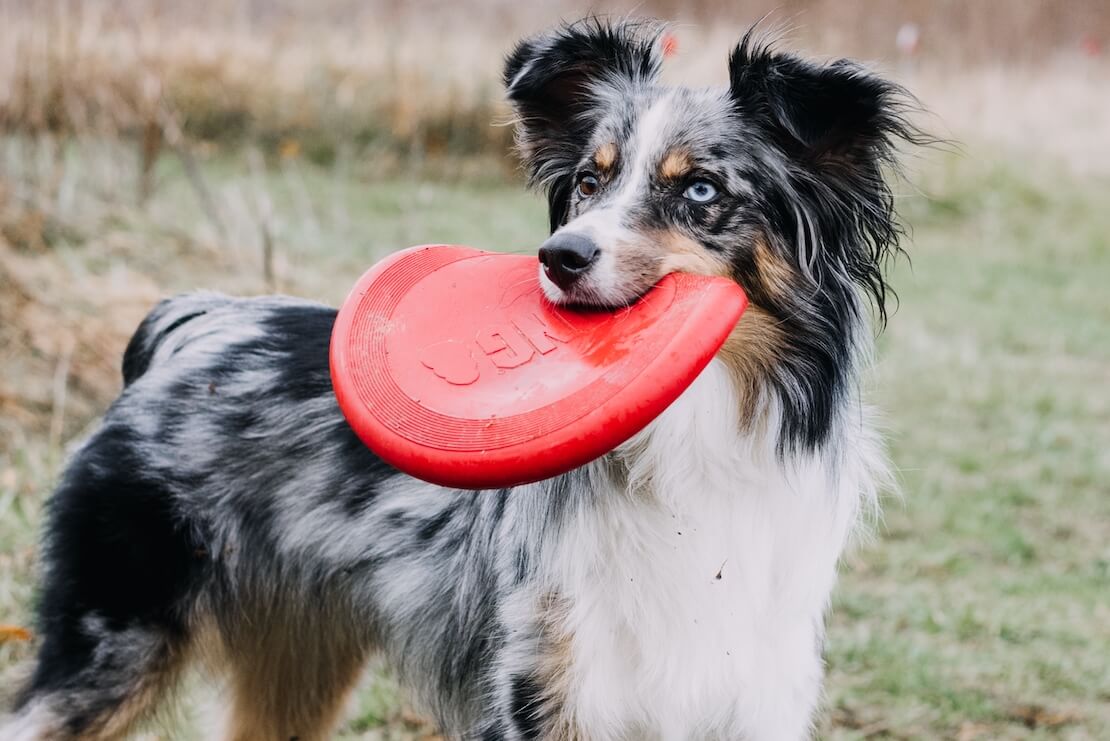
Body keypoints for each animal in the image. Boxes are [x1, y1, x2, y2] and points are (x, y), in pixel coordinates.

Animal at [2, 17, 919, 741]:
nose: (560, 255)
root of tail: (191, 323)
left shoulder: (750, 685)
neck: (688, 433)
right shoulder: (543, 686)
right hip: (113, 638)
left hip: (294, 667)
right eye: (589, 181)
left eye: (699, 189)